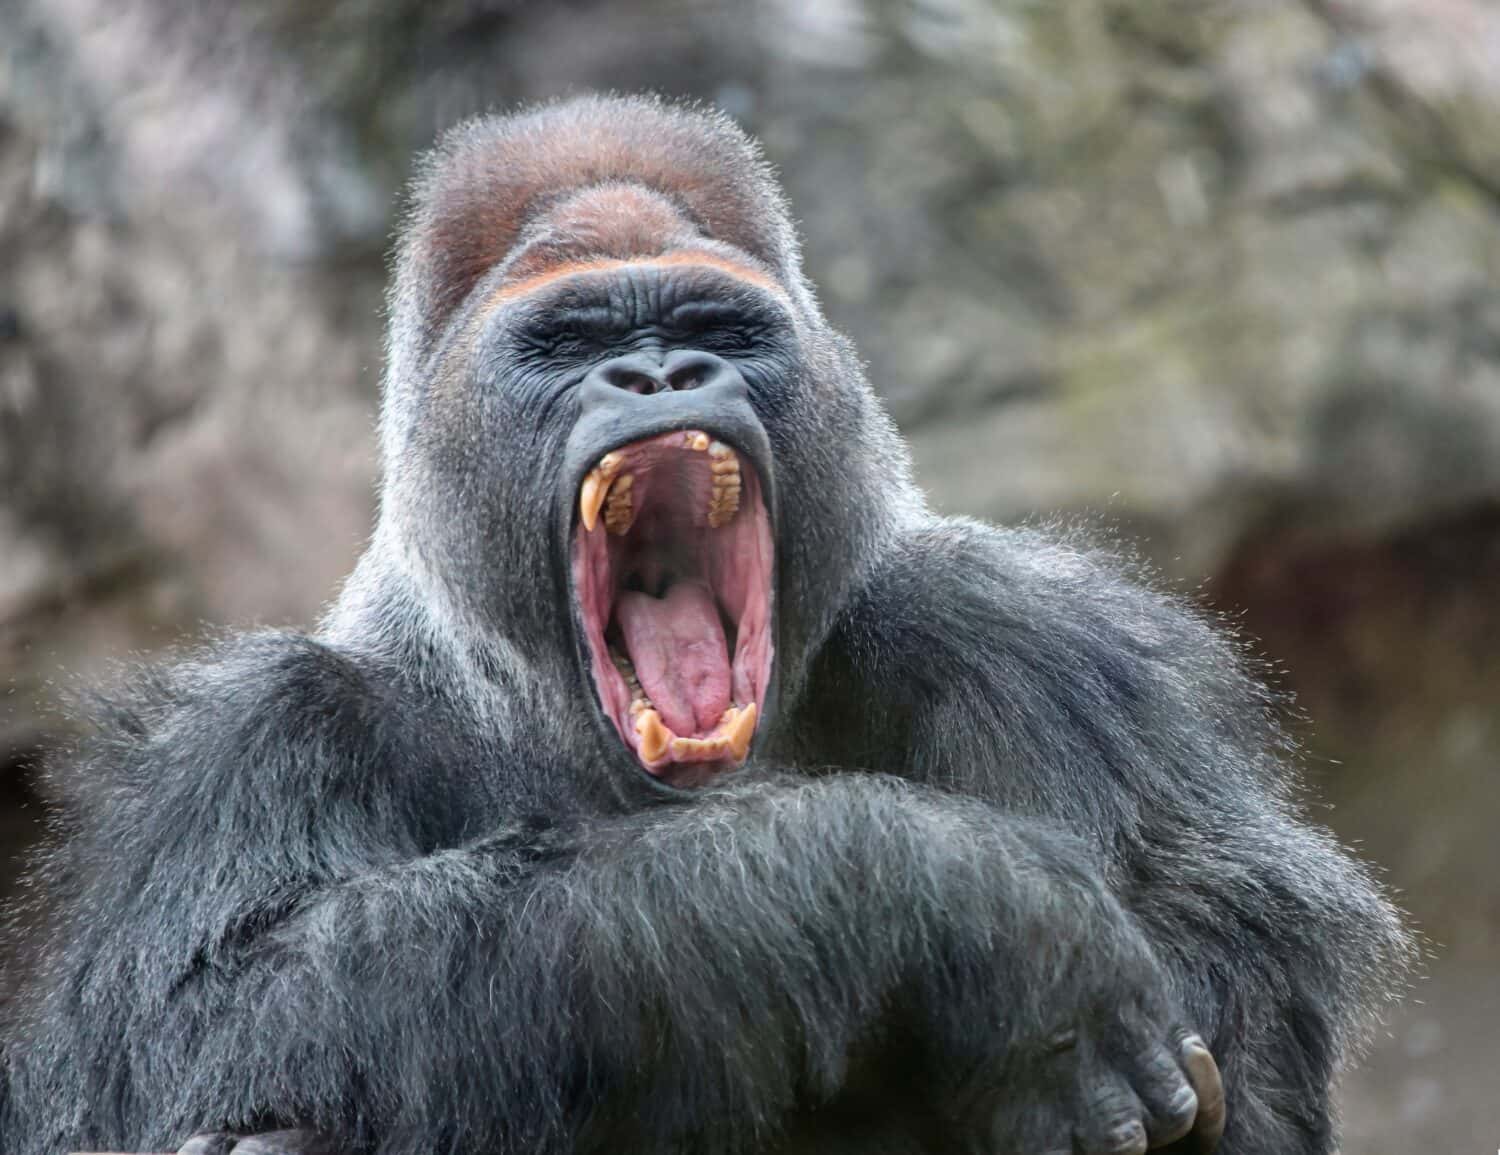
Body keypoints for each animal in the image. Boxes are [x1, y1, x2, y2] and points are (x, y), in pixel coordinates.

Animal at [0, 99, 1410, 1152]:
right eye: (573, 340)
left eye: (710, 325)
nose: (661, 372)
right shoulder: (251, 740)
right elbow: (195, 1024)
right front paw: (959, 901)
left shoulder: (1043, 644)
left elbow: (1241, 1044)